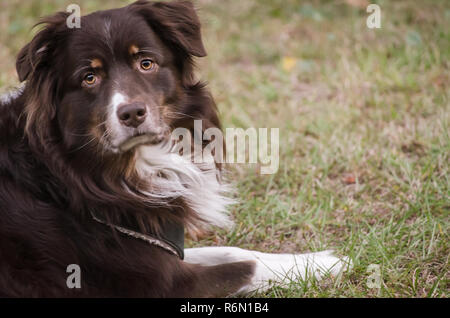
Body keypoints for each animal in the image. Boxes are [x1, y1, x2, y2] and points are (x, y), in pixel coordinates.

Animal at [0, 0, 350, 298]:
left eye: (146, 63)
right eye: (89, 77)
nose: (132, 113)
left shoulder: (164, 248)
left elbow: (233, 251)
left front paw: (318, 257)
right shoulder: (162, 284)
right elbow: (247, 267)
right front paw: (327, 263)